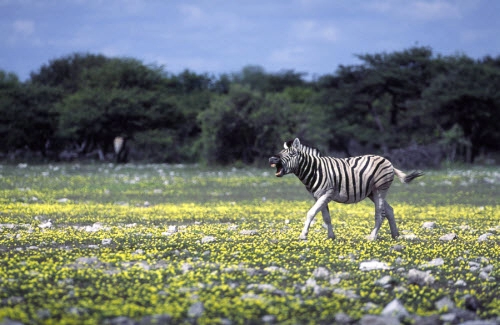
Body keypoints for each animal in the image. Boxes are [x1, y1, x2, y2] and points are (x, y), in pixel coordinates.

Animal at [268, 137, 424, 240]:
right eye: (280, 151)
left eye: (292, 154)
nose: (272, 159)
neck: (315, 170)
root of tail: (388, 161)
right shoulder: (318, 196)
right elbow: (326, 217)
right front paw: (331, 237)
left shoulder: (328, 193)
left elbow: (311, 213)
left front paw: (303, 235)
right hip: (372, 192)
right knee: (390, 210)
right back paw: (395, 235)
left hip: (380, 189)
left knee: (381, 213)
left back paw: (372, 237)